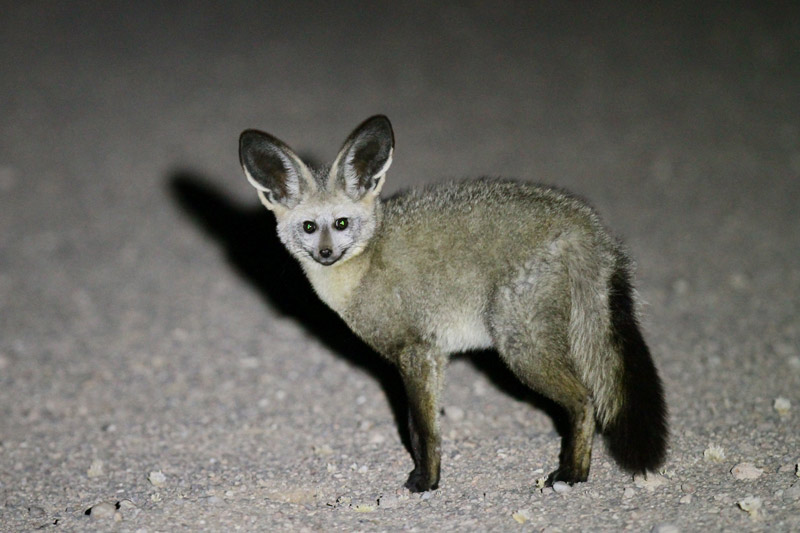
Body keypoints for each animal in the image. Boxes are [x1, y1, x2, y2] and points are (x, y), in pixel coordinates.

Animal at [238, 115, 668, 490]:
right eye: (309, 227)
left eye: (342, 224)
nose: (326, 253)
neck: (363, 267)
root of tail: (586, 224)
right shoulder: (433, 356)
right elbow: (424, 426)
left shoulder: (417, 351)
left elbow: (423, 430)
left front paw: (427, 481)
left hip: (520, 346)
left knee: (584, 401)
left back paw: (573, 474)